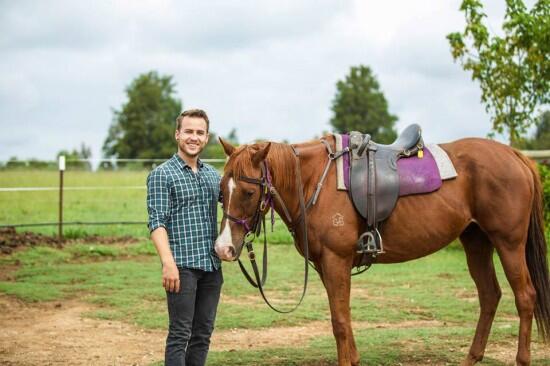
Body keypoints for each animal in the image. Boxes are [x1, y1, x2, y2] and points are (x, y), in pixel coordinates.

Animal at [215, 136, 550, 364]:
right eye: (221, 190)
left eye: (248, 192)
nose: (223, 248)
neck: (313, 181)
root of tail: (516, 156)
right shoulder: (327, 266)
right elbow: (343, 317)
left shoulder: (336, 261)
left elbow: (339, 322)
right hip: (477, 242)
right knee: (490, 295)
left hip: (508, 243)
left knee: (525, 297)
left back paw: (521, 358)